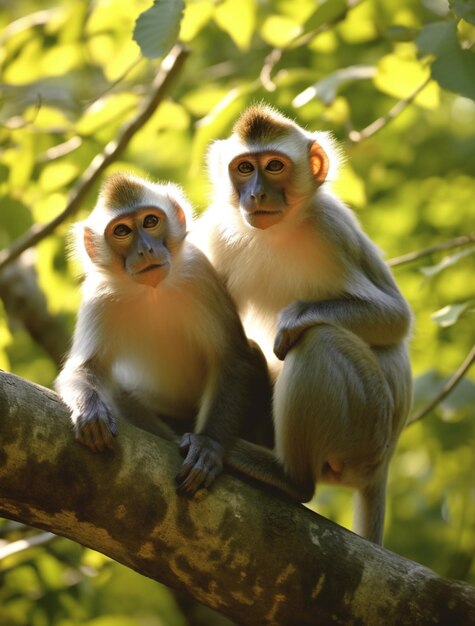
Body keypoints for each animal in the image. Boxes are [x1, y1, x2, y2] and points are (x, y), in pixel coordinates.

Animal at [54, 173, 276, 494]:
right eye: (121, 230)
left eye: (150, 221)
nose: (145, 249)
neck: (153, 292)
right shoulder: (99, 296)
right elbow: (84, 367)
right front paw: (91, 411)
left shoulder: (200, 276)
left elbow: (233, 359)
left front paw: (207, 447)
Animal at [192, 103, 414, 540]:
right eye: (245, 168)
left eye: (275, 166)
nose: (256, 194)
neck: (276, 233)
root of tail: (381, 466)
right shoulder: (217, 234)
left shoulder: (332, 230)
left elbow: (395, 320)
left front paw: (295, 317)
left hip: (367, 426)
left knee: (320, 343)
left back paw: (288, 477)